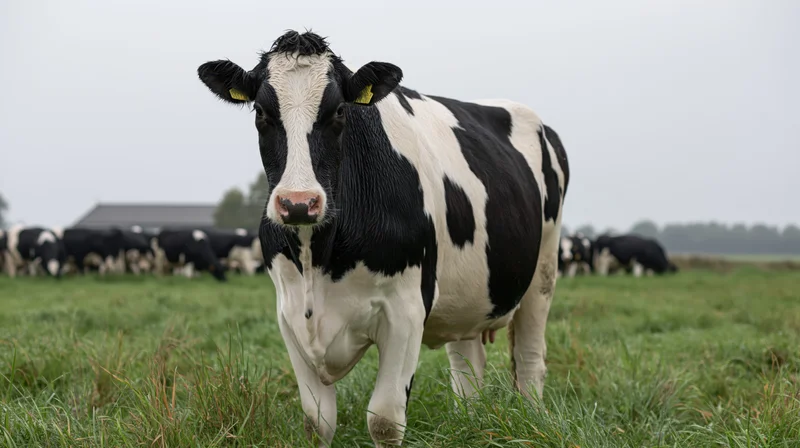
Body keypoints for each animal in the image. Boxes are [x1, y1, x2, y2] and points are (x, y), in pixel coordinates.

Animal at [197, 30, 570, 446]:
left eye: (339, 112)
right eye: (261, 113)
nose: (298, 203)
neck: (319, 258)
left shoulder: (405, 309)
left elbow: (385, 420)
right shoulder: (289, 314)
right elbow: (316, 422)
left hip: (543, 271)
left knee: (530, 360)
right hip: (468, 294)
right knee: (468, 366)